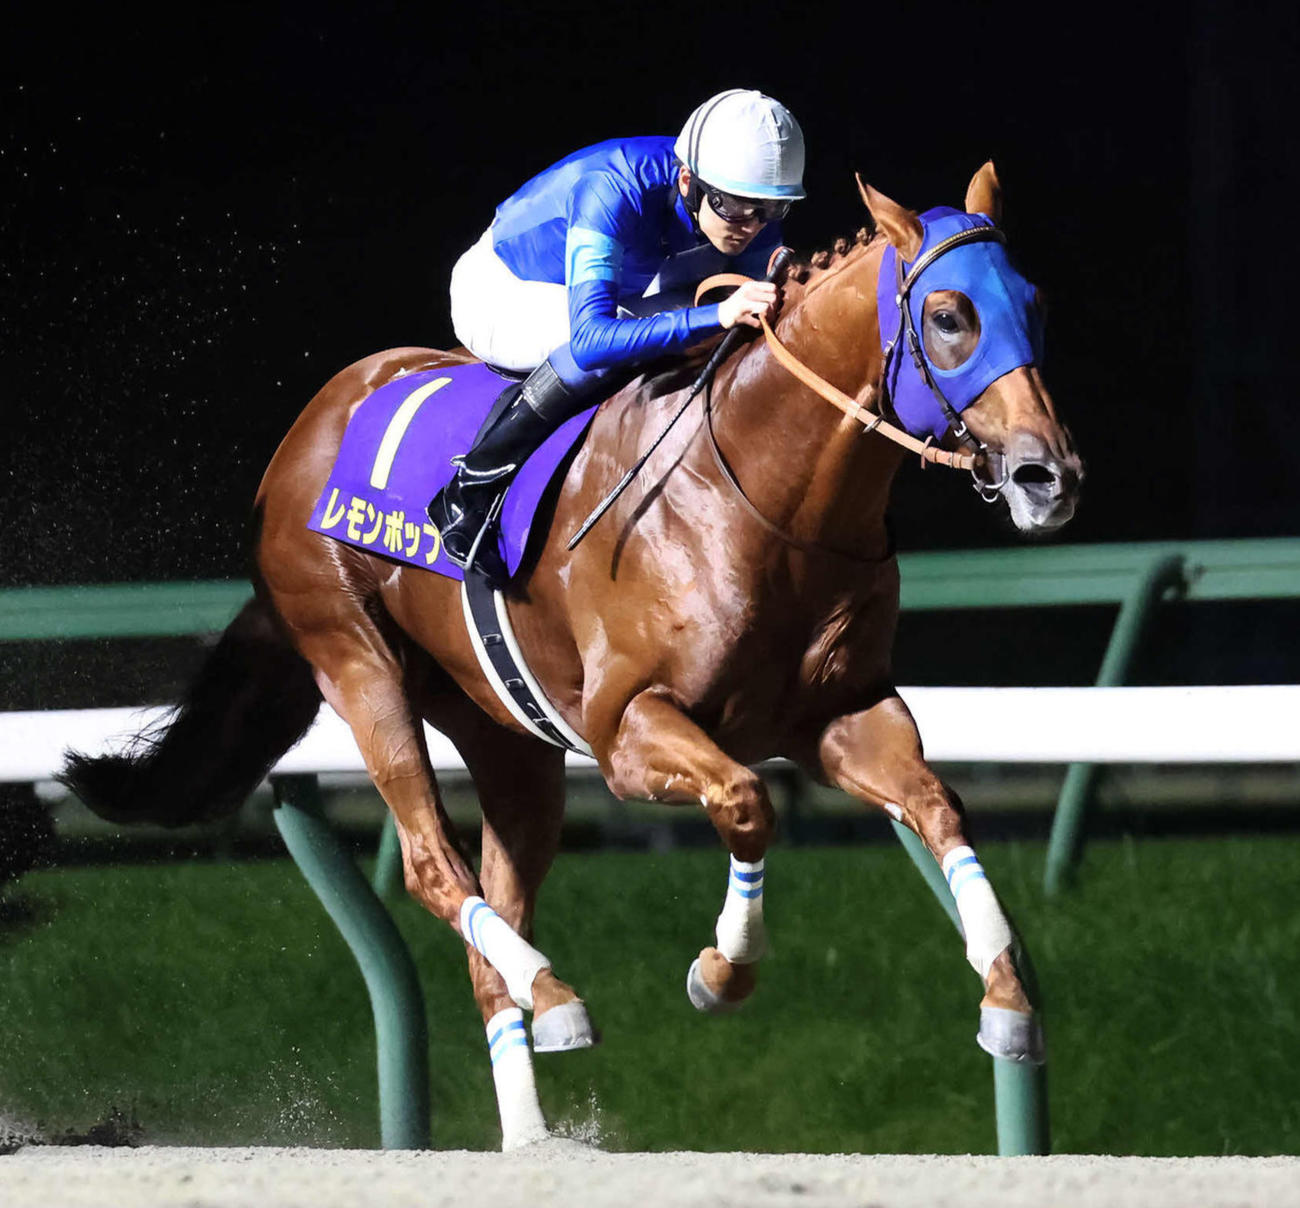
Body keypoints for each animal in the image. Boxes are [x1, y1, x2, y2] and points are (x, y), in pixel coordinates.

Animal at [61, 163, 1082, 1150]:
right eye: (949, 315)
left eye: (1034, 301)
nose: (1050, 477)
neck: (768, 498)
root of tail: (308, 430)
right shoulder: (629, 730)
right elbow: (747, 803)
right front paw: (721, 973)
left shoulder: (843, 714)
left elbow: (938, 806)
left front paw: (1009, 1002)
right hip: (356, 662)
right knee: (435, 867)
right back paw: (552, 993)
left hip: (508, 736)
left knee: (492, 924)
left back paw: (533, 1125)